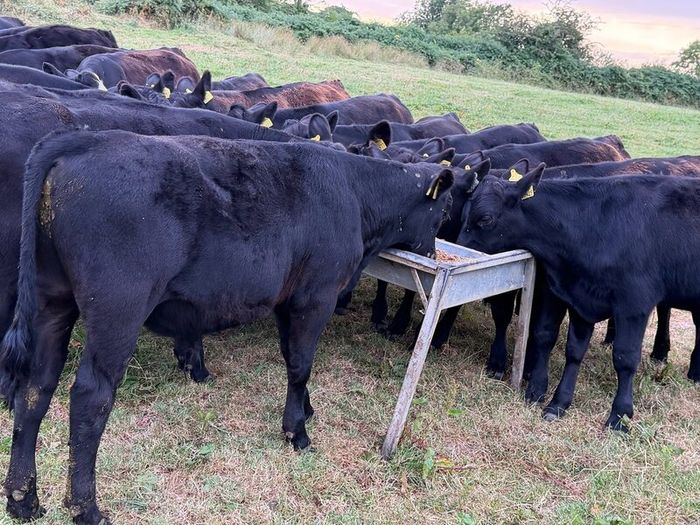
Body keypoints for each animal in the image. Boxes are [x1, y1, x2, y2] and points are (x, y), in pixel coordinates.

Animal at [0, 129, 453, 523]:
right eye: (441, 214)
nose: (435, 254)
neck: (354, 194)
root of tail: (84, 138)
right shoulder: (315, 297)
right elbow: (301, 364)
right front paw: (297, 432)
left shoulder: (286, 301)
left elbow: (292, 358)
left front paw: (306, 409)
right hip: (117, 311)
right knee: (90, 398)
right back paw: (87, 509)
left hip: (52, 302)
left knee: (35, 389)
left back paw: (23, 500)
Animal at [458, 168, 700, 432]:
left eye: (485, 219)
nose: (458, 246)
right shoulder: (578, 299)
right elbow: (571, 349)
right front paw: (556, 401)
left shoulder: (634, 304)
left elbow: (625, 358)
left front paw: (619, 416)